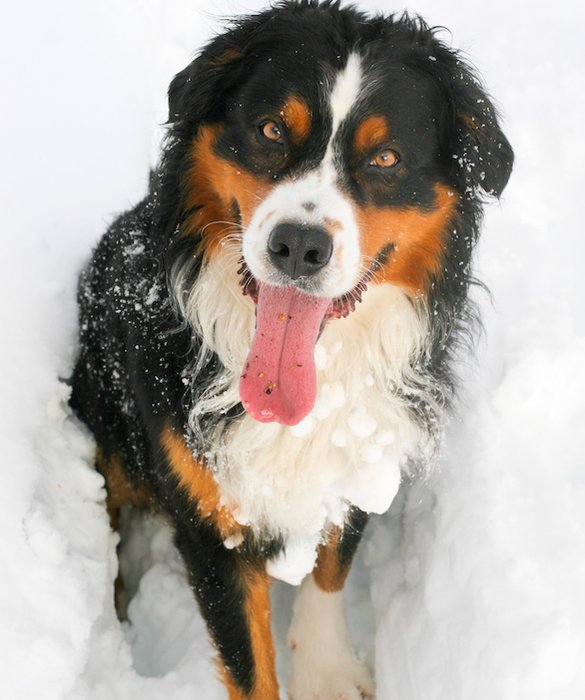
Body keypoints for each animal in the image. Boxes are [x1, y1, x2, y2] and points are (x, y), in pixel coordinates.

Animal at [70, 1, 512, 700]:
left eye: (386, 157)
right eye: (272, 128)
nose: (300, 246)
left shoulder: (363, 455)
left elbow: (333, 564)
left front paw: (327, 671)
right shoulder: (212, 520)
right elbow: (250, 665)